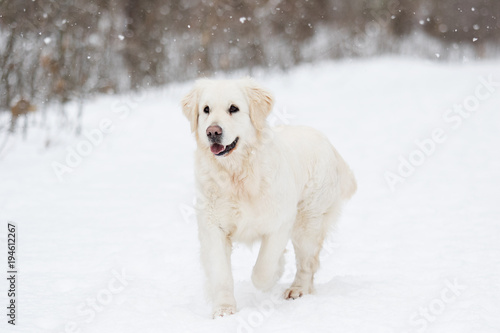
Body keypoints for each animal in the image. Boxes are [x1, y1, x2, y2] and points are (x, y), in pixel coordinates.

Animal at [180, 78, 356, 316]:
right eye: (206, 110)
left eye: (233, 108)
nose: (212, 132)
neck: (237, 175)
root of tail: (326, 141)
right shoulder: (213, 227)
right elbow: (221, 273)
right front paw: (224, 310)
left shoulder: (280, 221)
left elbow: (263, 267)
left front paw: (273, 274)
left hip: (307, 223)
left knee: (307, 263)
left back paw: (297, 289)